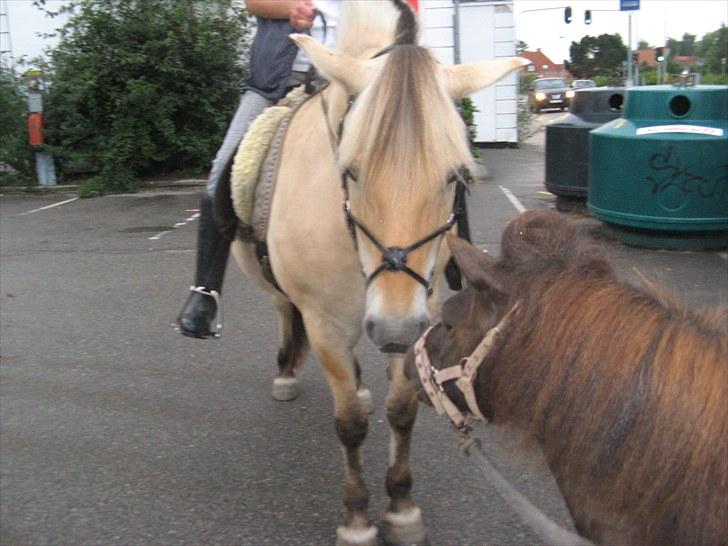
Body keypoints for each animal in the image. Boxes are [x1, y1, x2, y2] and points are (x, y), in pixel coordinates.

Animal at [230, 2, 528, 540]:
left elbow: (402, 412)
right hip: (286, 296)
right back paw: (286, 373)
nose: (392, 330)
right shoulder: (324, 324)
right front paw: (357, 518)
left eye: (454, 176)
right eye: (349, 171)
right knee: (283, 310)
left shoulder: (416, 314)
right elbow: (349, 423)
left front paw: (401, 507)